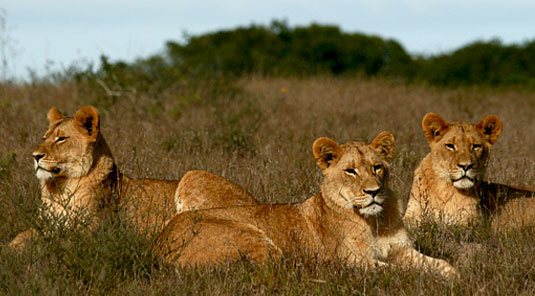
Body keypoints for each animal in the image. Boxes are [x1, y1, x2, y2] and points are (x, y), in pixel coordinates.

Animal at [155, 133, 456, 278]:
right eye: (350, 171)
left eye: (377, 167)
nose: (373, 192)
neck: (375, 221)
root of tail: (159, 242)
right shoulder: (351, 261)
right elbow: (397, 271)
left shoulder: (402, 250)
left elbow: (442, 264)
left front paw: (454, 277)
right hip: (254, 237)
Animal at [406, 112, 535, 228]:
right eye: (450, 146)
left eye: (476, 146)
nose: (466, 166)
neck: (445, 191)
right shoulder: (412, 217)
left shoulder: (470, 223)